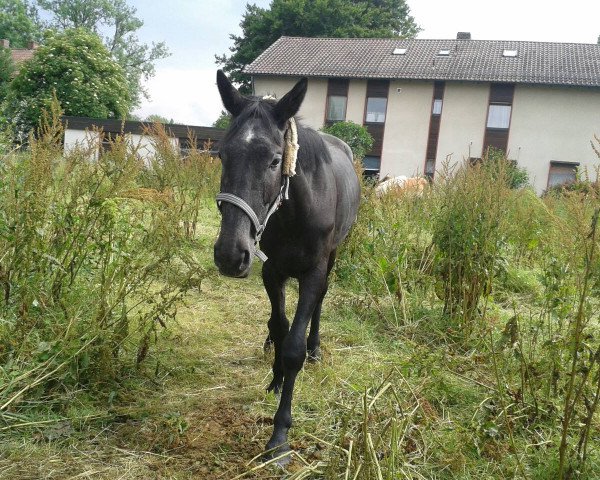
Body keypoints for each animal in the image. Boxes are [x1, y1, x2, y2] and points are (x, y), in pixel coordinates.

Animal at [213, 69, 358, 464]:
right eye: (222, 155)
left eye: (276, 161)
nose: (230, 255)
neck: (296, 211)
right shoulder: (272, 270)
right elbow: (279, 327)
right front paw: (276, 380)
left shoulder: (313, 273)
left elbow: (293, 346)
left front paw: (279, 436)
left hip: (333, 258)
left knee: (321, 302)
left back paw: (316, 348)